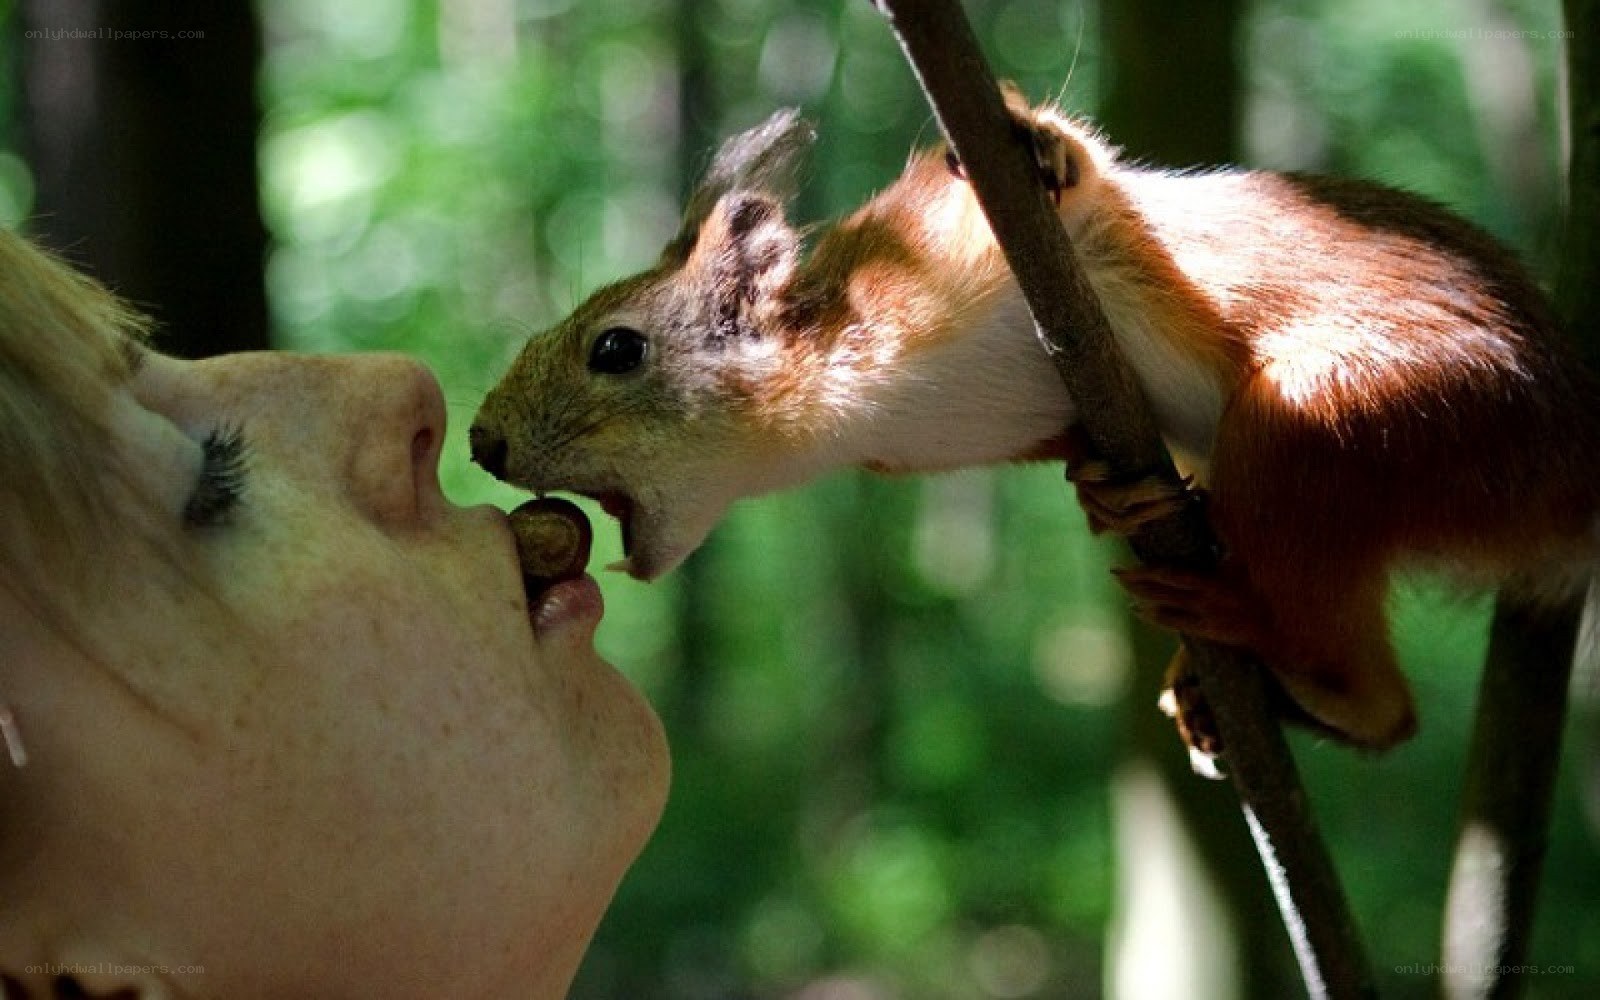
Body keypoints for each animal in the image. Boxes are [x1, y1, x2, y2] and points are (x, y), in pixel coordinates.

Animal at [471, 93, 1600, 752]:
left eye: (616, 350)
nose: (483, 443)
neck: (848, 406)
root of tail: (1563, 473)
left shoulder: (952, 245)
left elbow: (1088, 189)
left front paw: (1034, 143)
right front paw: (1104, 493)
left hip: (1354, 422)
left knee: (1372, 687)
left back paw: (1266, 639)